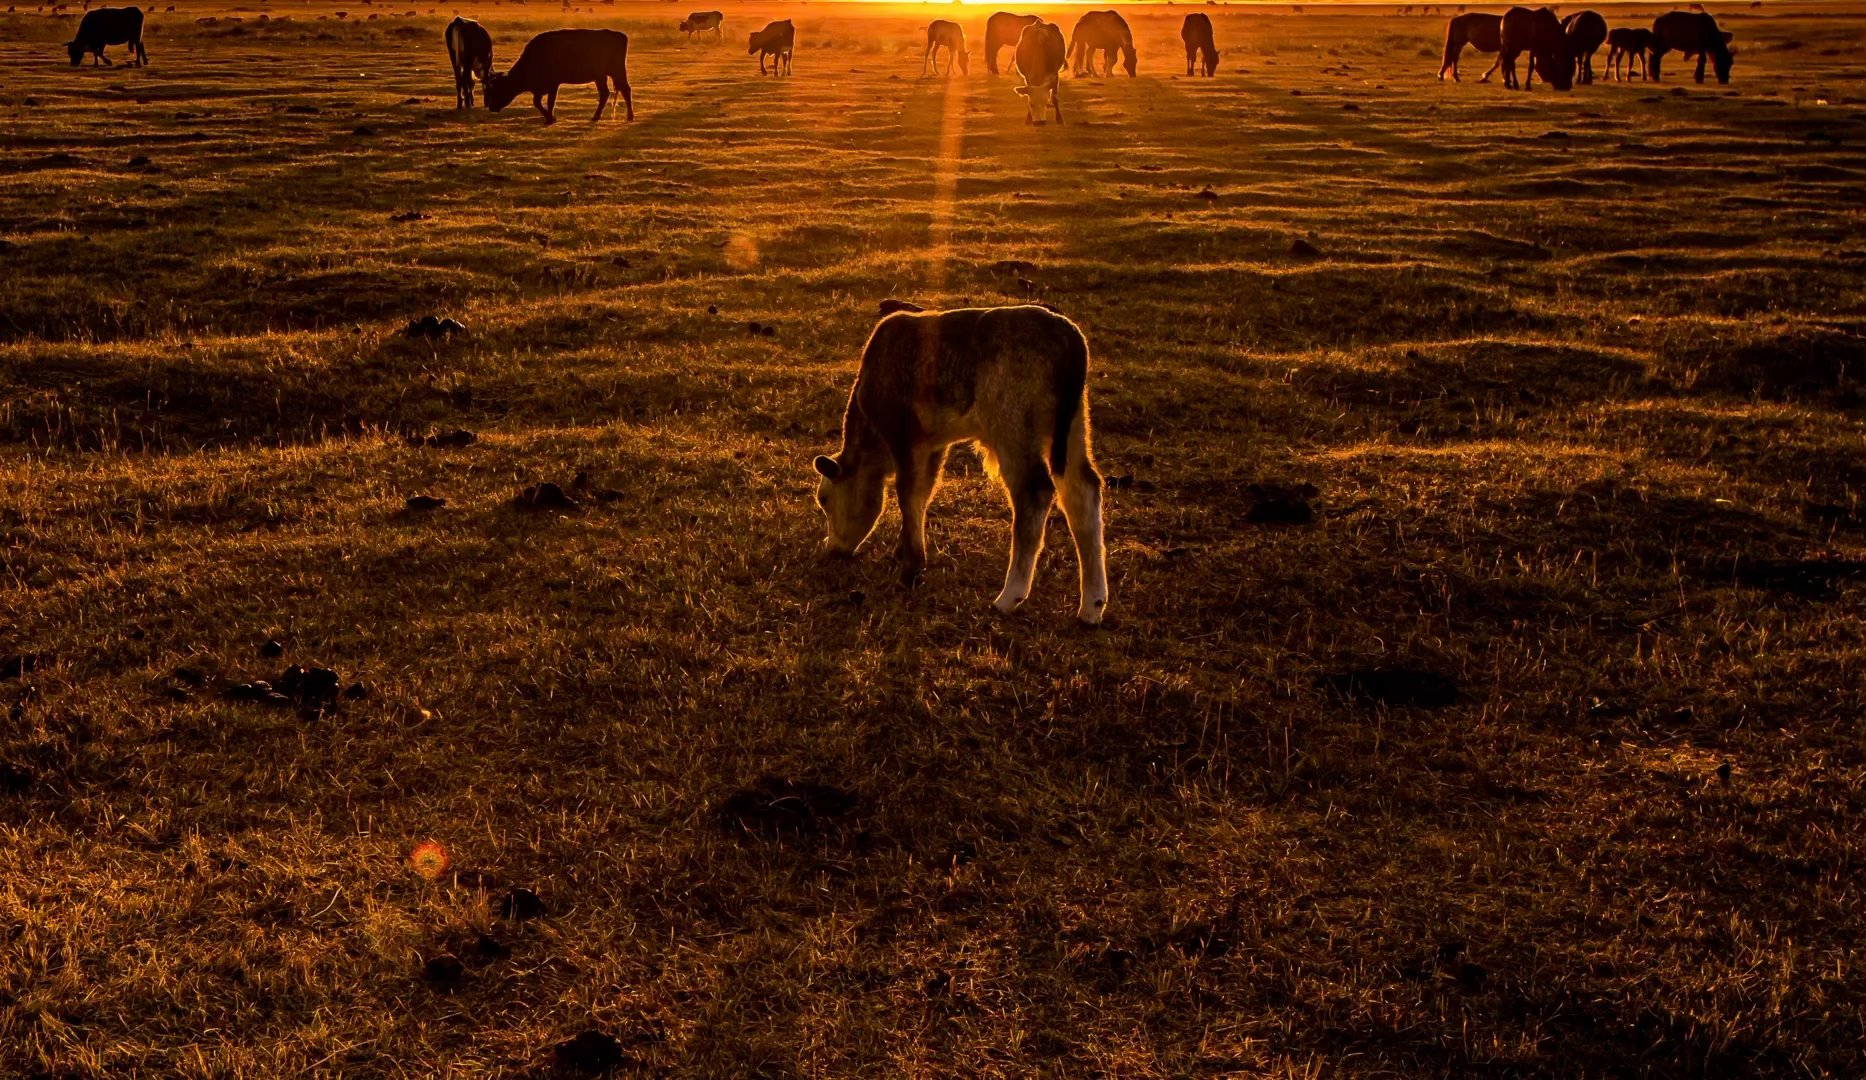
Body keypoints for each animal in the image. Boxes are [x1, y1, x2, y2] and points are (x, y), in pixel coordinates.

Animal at [481, 28, 634, 124]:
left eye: (497, 88)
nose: (491, 107)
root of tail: (619, 35)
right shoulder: (539, 89)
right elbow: (537, 102)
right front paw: (550, 118)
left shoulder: (553, 84)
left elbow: (550, 102)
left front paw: (550, 119)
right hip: (601, 76)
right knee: (605, 93)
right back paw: (596, 117)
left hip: (616, 72)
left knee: (625, 90)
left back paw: (630, 117)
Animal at [809, 304, 1097, 626]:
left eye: (824, 499)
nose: (833, 549)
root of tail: (1067, 332)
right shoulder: (932, 445)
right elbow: (922, 494)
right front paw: (902, 551)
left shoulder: (903, 434)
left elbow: (908, 492)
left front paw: (910, 569)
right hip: (1074, 427)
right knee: (1083, 491)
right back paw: (1092, 607)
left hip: (1014, 429)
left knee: (1035, 493)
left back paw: (1009, 597)